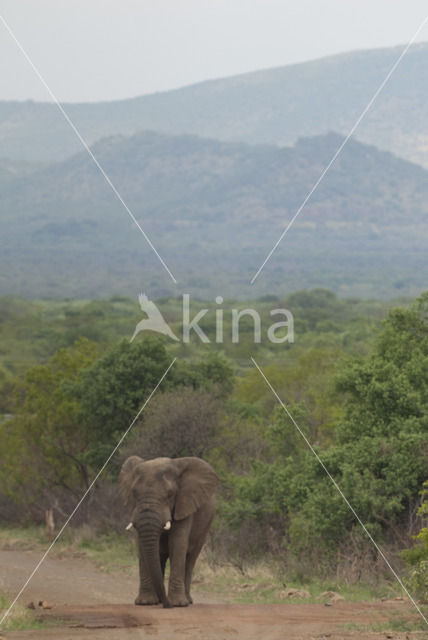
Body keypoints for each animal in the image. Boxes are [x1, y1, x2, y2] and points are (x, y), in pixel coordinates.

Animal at [120, 452, 219, 608]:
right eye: (134, 493)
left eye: (170, 494)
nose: (166, 605)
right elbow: (142, 546)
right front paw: (145, 602)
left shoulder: (184, 504)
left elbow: (177, 543)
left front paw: (177, 604)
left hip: (205, 527)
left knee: (190, 559)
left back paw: (187, 601)